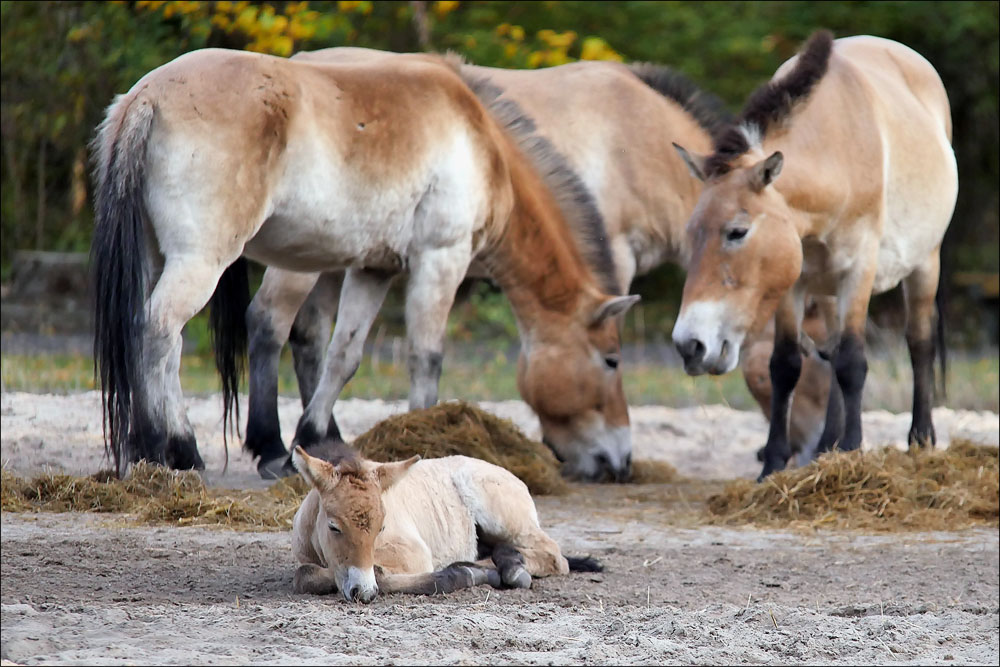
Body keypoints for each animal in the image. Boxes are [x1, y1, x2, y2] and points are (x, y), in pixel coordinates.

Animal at [95, 49, 640, 478]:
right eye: (611, 360)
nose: (620, 462)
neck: (478, 140)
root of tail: (147, 97)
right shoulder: (440, 259)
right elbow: (426, 355)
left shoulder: (374, 269)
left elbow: (344, 355)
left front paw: (311, 439)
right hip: (201, 261)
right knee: (161, 332)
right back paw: (176, 449)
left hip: (155, 257)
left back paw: (154, 449)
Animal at [243, 47, 732, 482]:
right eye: (612, 362)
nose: (620, 463)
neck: (640, 137)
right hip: (299, 258)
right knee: (269, 321)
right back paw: (269, 447)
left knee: (311, 337)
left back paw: (322, 441)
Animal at [292, 446, 600, 604]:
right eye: (334, 527)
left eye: (381, 528)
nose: (363, 593)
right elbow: (306, 574)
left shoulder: (413, 553)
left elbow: (378, 571)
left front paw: (458, 575)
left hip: (505, 519)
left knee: (555, 556)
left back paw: (509, 569)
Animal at [668, 32, 956, 480]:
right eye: (691, 234)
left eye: (737, 232)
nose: (690, 345)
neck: (836, 155)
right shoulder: (795, 282)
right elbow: (786, 365)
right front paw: (773, 465)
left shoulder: (859, 271)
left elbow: (854, 362)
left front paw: (853, 450)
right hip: (827, 288)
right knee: (830, 349)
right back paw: (825, 448)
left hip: (925, 263)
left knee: (919, 343)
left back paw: (920, 439)